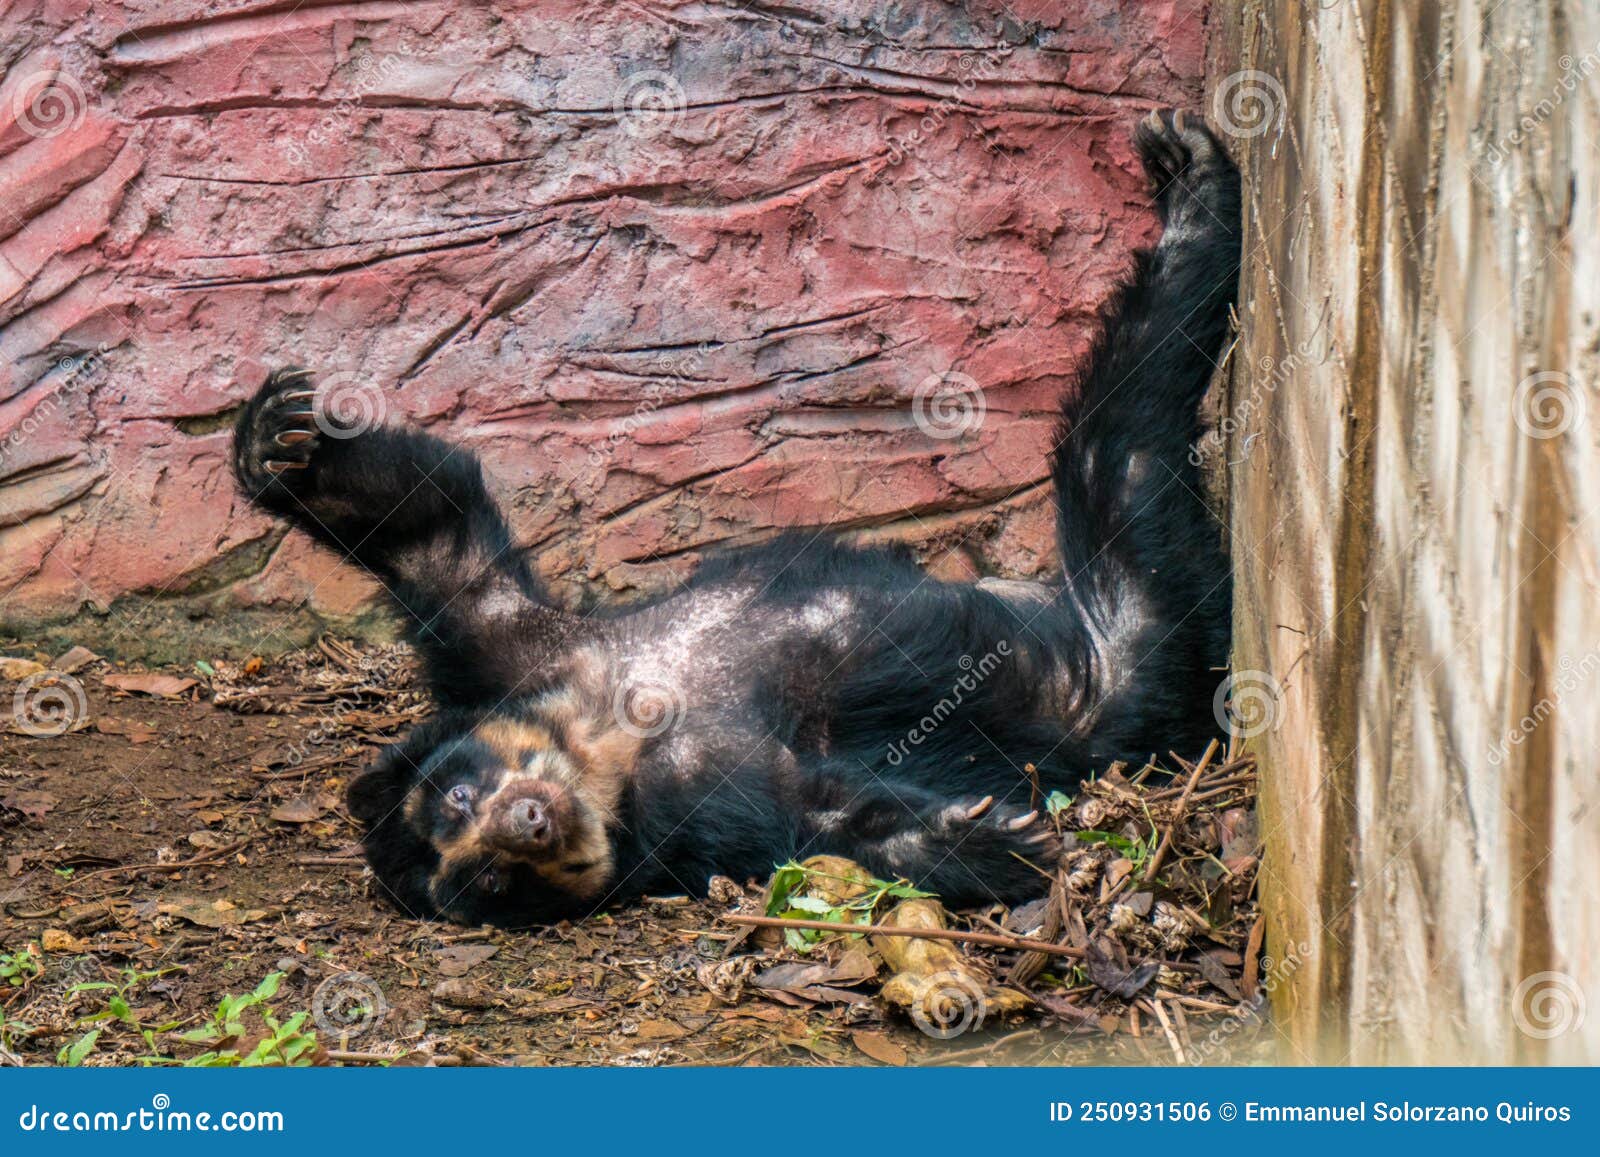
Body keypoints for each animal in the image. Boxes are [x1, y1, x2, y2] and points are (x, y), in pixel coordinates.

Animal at [232, 108, 1241, 921]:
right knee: (1130, 464)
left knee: (1120, 425)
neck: (608, 743)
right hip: (1142, 655)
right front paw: (988, 840)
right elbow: (814, 814)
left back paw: (1192, 189)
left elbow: (440, 541)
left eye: (454, 798)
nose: (524, 822)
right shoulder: (695, 811)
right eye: (482, 879)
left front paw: (275, 444)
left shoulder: (521, 652)